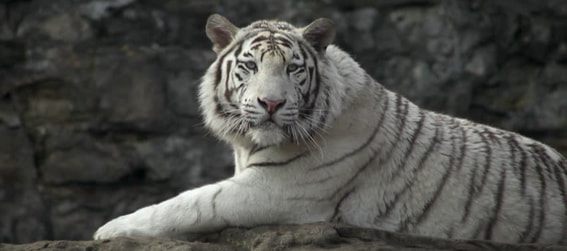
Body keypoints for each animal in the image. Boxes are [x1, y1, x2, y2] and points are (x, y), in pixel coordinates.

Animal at [95, 13, 567, 243]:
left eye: (293, 68)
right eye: (250, 66)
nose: (271, 103)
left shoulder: (276, 190)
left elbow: (189, 204)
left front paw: (107, 230)